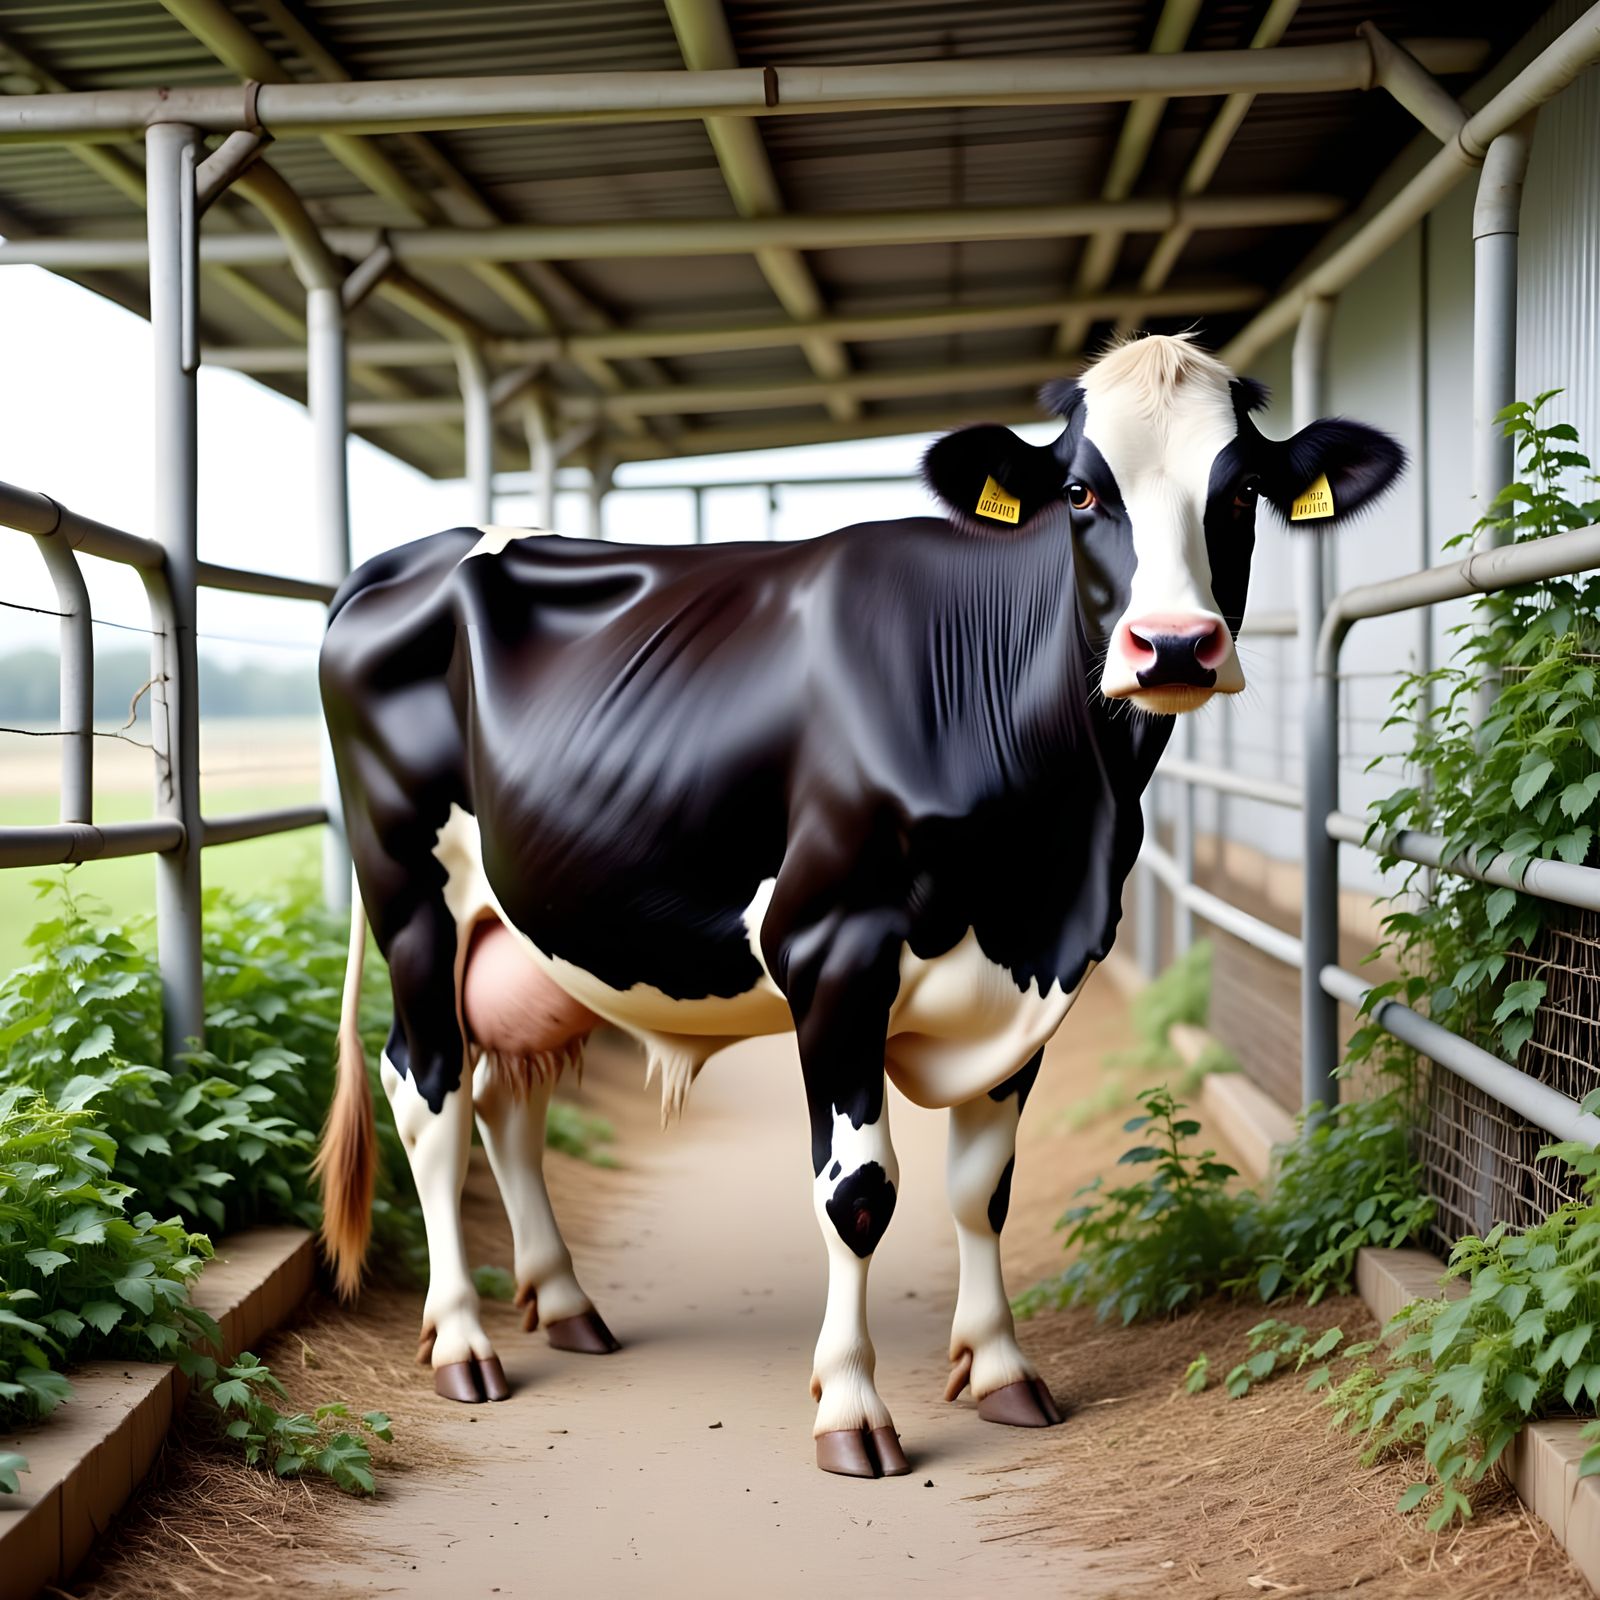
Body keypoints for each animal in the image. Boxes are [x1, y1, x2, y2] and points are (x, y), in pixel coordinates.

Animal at [315, 332, 1403, 1478]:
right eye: (1078, 490)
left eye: (1239, 492)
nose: (1177, 645)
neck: (1047, 852)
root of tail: (402, 561)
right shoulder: (833, 954)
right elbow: (860, 1192)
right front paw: (850, 1408)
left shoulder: (1038, 973)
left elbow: (982, 1187)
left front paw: (1002, 1370)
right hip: (409, 895)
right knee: (428, 1092)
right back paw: (462, 1345)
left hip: (529, 932)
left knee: (504, 1100)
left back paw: (566, 1305)